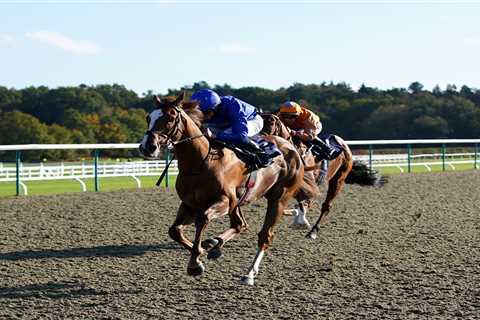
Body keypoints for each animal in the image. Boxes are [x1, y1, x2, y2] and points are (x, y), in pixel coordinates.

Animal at [139, 92, 304, 284]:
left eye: (171, 117)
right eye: (148, 117)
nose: (147, 147)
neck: (201, 162)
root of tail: (290, 146)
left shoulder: (224, 201)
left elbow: (203, 219)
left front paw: (195, 262)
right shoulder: (190, 203)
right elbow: (174, 231)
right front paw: (202, 251)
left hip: (279, 198)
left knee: (265, 235)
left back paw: (249, 273)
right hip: (239, 201)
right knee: (239, 224)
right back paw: (215, 244)